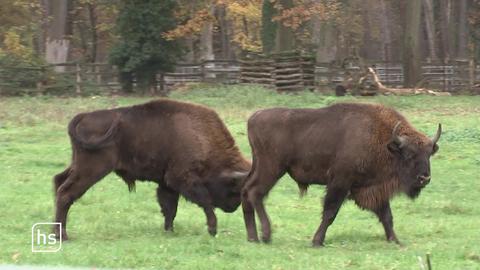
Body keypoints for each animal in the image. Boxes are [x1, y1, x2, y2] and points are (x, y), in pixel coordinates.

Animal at [53, 100, 251, 239]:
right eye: (234, 188)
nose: (233, 207)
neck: (200, 135)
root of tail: (83, 116)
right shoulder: (181, 179)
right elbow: (205, 201)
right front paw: (212, 229)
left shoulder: (167, 184)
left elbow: (170, 208)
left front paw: (169, 231)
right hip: (91, 170)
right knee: (65, 193)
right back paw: (63, 236)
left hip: (77, 165)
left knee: (58, 181)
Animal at [242, 102, 440, 246]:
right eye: (408, 154)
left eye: (429, 154)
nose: (424, 178)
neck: (383, 142)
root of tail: (253, 118)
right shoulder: (340, 183)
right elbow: (330, 212)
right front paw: (317, 241)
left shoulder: (374, 189)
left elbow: (386, 216)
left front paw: (395, 241)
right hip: (272, 169)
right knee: (255, 192)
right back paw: (266, 236)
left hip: (260, 167)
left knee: (245, 190)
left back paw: (253, 237)